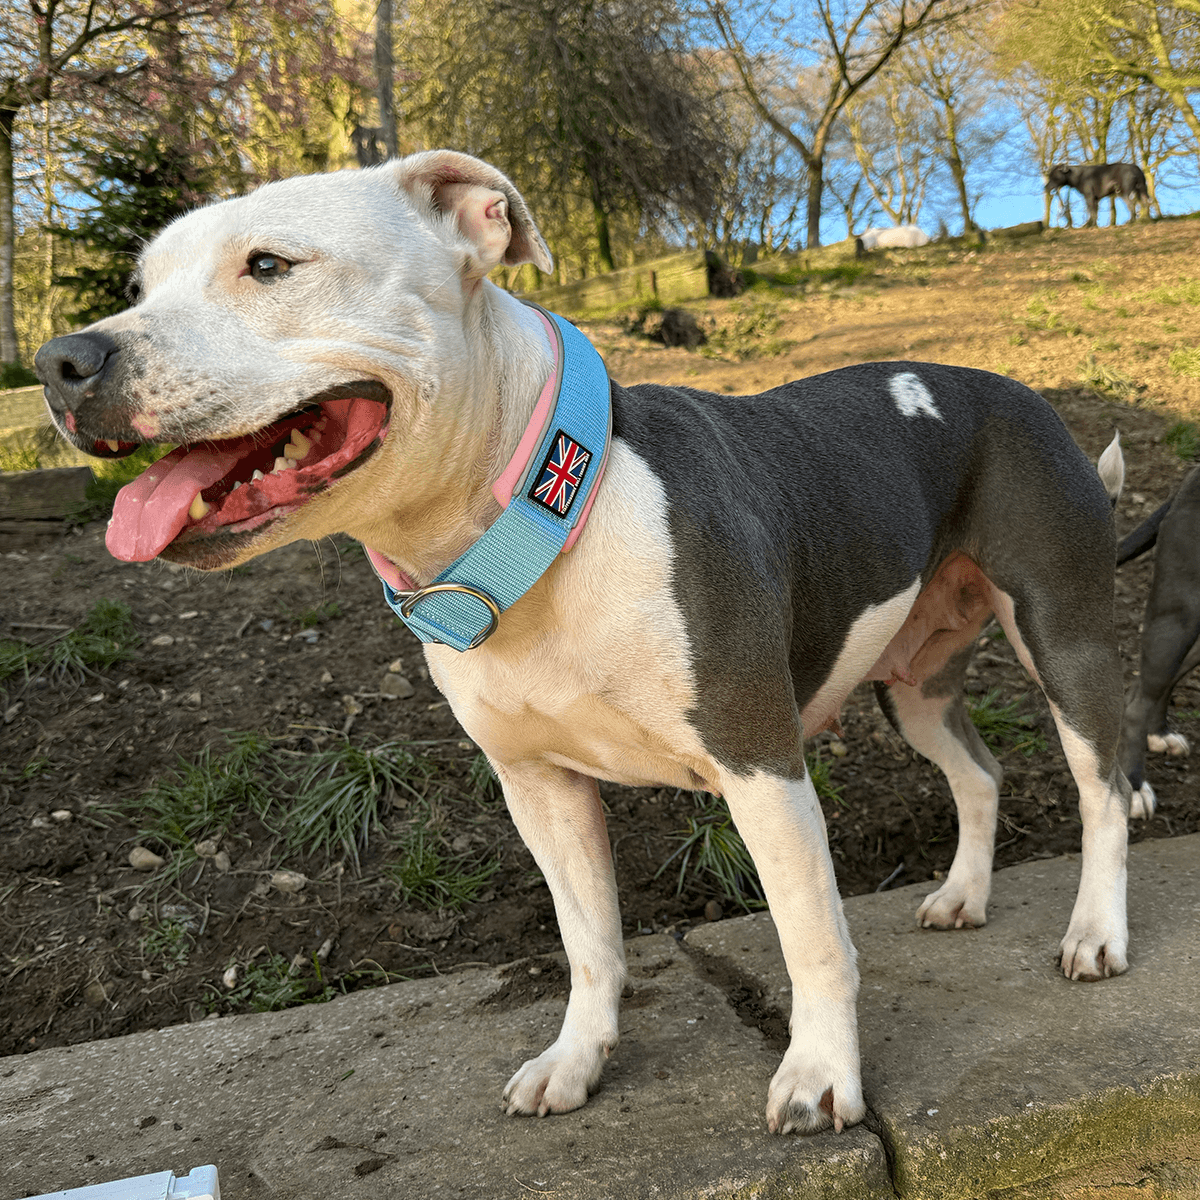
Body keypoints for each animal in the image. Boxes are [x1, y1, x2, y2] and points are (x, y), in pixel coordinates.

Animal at [35, 150, 1142, 1132]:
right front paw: (577, 1061)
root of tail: (1015, 389)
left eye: (268, 265)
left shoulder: (760, 764)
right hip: (911, 684)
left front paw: (822, 1077)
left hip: (1065, 638)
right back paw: (963, 896)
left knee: (1102, 790)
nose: (63, 361)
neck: (546, 512)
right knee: (980, 774)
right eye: (138, 284)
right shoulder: (539, 788)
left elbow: (813, 938)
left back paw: (1096, 931)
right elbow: (589, 942)